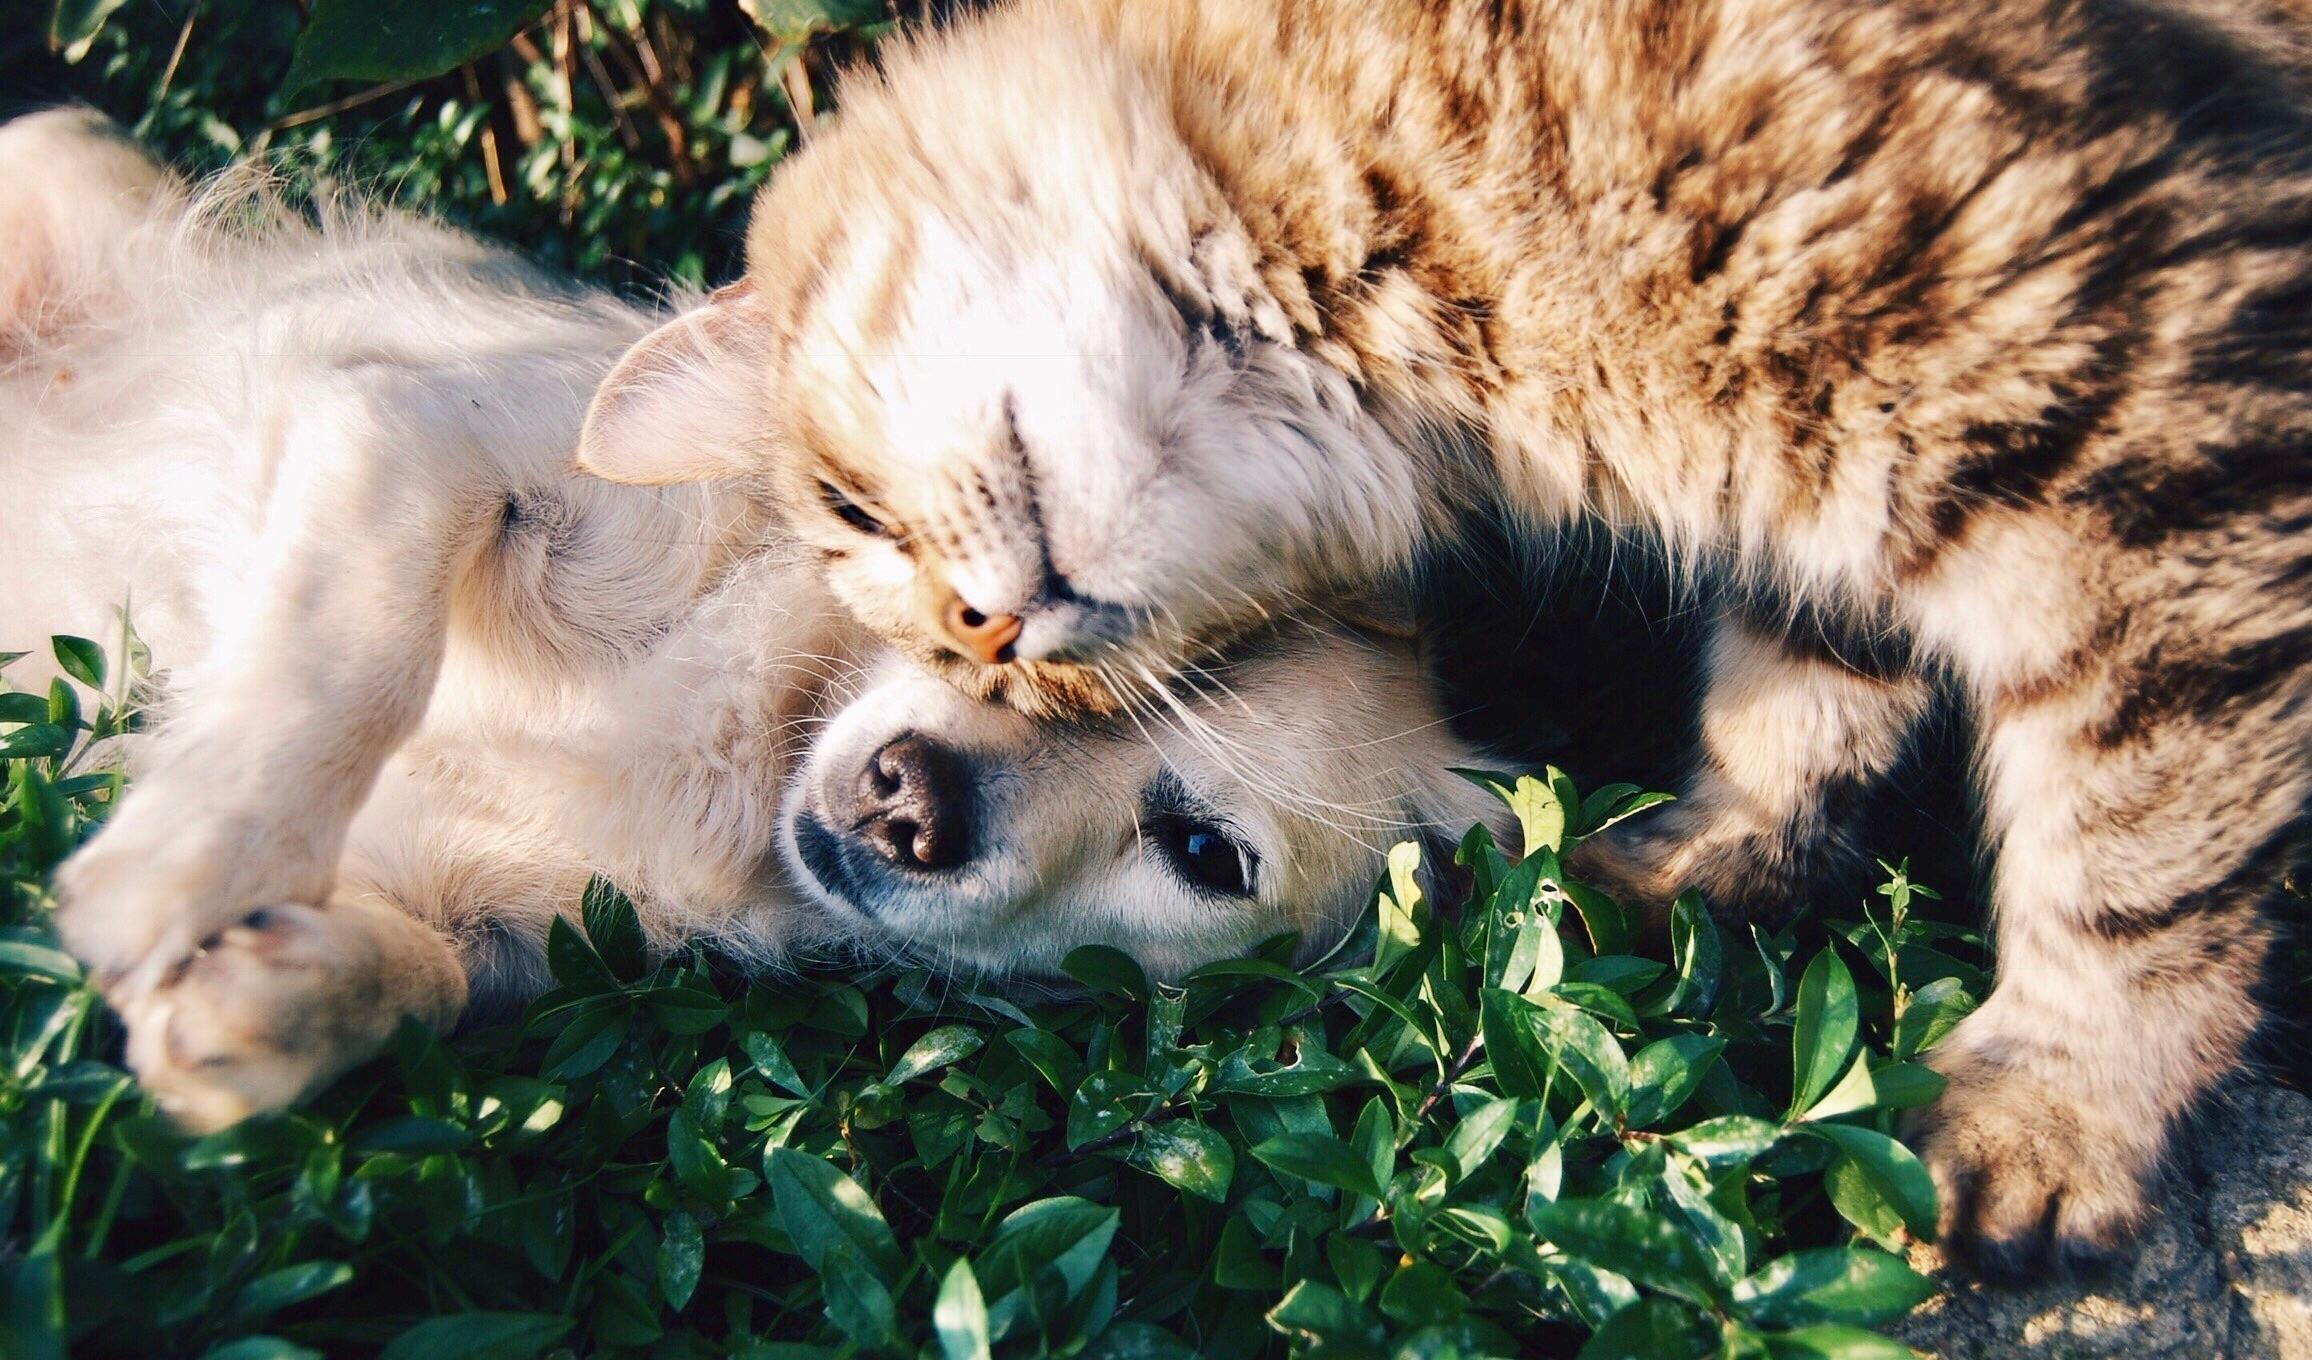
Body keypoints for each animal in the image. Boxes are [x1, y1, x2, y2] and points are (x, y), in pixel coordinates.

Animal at [4, 114, 1516, 1137]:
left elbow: (423, 981)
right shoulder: (416, 429)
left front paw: (267, 1003)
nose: (911, 800)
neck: (757, 738)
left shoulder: (502, 933)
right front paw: (183, 864)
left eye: (1203, 853)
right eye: (991, 621)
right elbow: (349, 654)